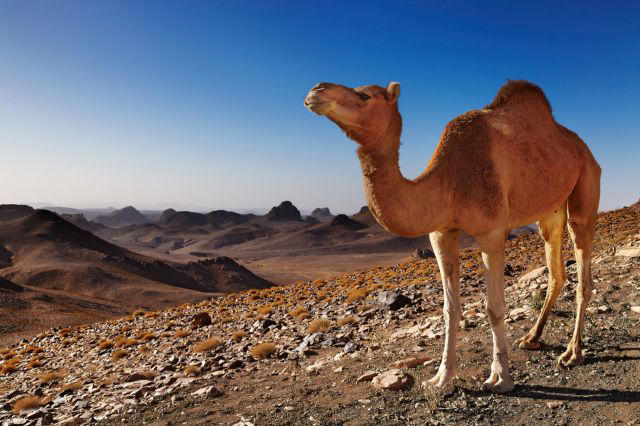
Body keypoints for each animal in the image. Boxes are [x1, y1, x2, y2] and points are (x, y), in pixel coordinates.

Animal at [304, 80, 601, 393]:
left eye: (364, 95)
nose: (316, 90)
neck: (449, 180)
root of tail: (584, 149)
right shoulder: (441, 233)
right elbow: (450, 309)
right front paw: (441, 377)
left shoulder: (492, 233)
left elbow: (494, 308)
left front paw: (500, 377)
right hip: (550, 210)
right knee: (556, 270)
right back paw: (531, 338)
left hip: (586, 185)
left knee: (582, 270)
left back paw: (572, 353)